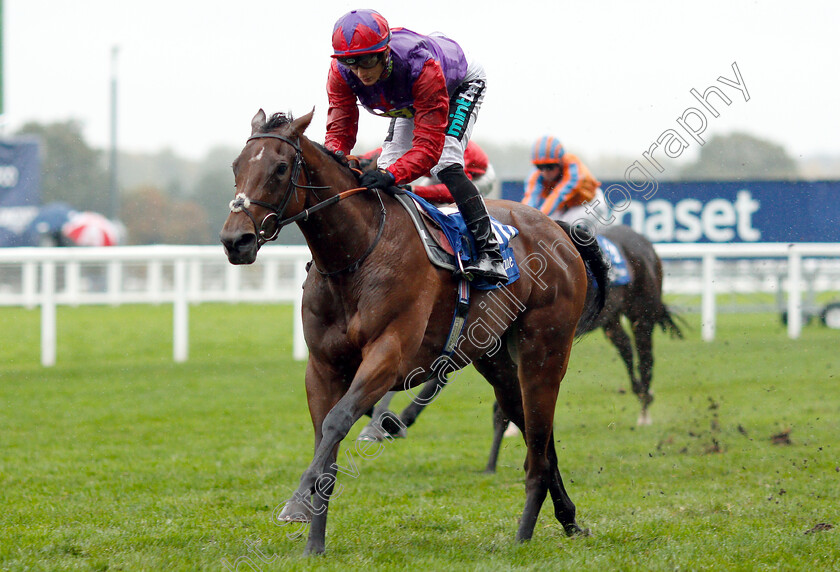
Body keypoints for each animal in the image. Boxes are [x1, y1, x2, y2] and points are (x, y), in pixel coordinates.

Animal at [220, 108, 608, 556]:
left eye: (281, 167)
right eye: (236, 166)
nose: (235, 240)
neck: (355, 256)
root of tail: (557, 229)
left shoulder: (388, 356)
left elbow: (337, 423)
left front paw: (296, 503)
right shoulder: (322, 367)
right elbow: (325, 440)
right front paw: (314, 544)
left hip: (544, 351)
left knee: (540, 442)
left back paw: (524, 534)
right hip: (496, 362)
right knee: (538, 438)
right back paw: (568, 519)